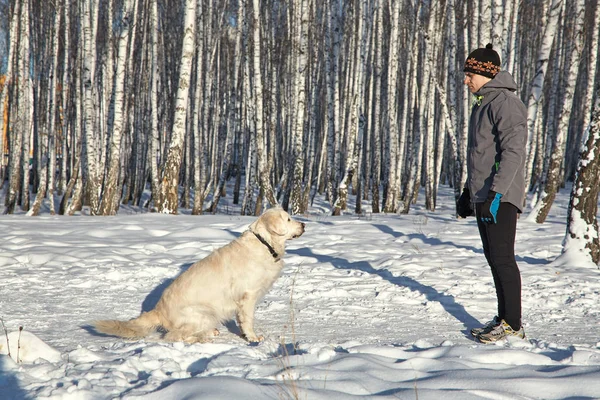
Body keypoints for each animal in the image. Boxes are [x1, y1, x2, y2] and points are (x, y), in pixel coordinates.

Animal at [97, 208, 310, 342]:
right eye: (288, 219)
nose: (304, 225)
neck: (264, 243)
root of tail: (158, 310)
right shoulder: (248, 296)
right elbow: (248, 321)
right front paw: (252, 338)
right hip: (205, 313)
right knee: (174, 337)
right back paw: (203, 338)